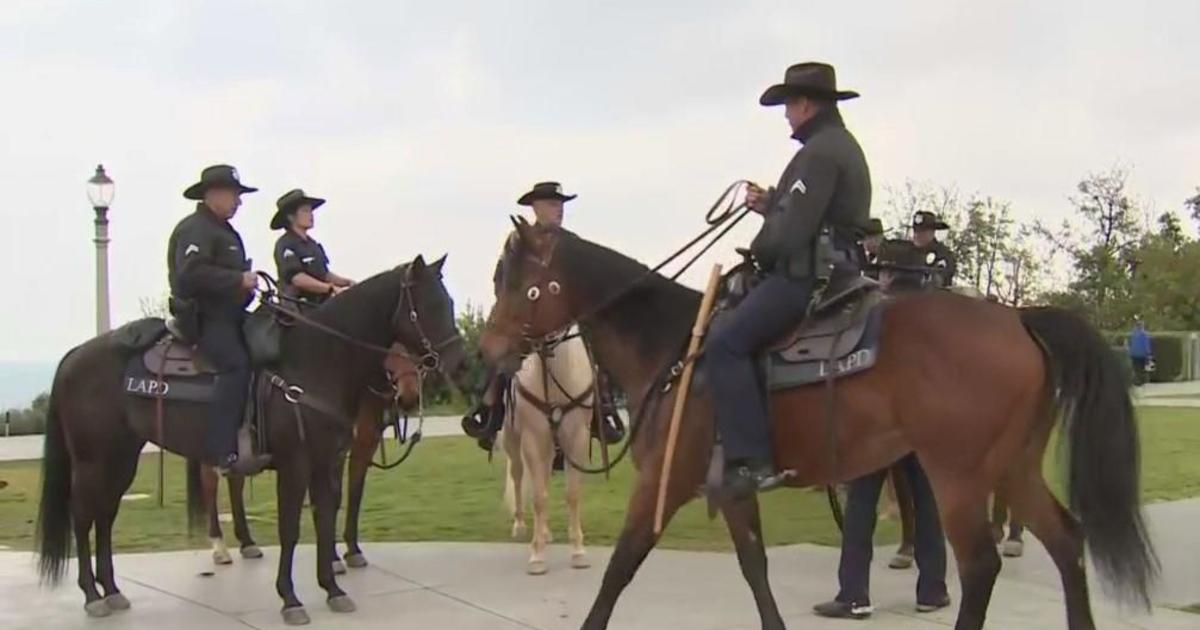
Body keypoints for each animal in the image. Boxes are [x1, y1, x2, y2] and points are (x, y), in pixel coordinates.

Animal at [194, 348, 424, 568]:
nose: (409, 396)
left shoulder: (363, 445)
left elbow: (353, 494)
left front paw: (352, 550)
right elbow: (331, 498)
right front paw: (333, 558)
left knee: (235, 482)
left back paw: (247, 543)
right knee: (209, 483)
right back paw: (220, 547)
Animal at [499, 331, 592, 578]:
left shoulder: (578, 439)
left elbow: (573, 494)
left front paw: (578, 552)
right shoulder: (532, 439)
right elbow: (539, 498)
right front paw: (537, 557)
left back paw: (546, 531)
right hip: (514, 442)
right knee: (518, 477)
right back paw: (521, 526)